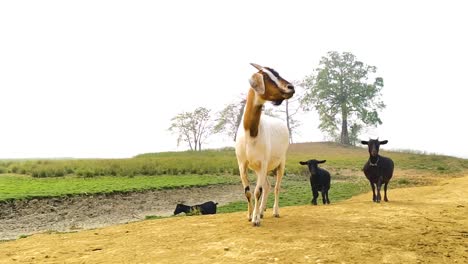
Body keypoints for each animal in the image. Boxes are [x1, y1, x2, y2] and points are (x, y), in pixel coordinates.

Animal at [236, 63, 294, 226]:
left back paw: (274, 212)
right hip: (259, 168)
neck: (251, 134)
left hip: (280, 163)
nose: (290, 87)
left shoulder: (263, 163)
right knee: (267, 187)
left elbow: (257, 191)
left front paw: (255, 220)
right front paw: (250, 215)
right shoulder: (242, 164)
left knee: (276, 187)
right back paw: (261, 212)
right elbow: (248, 192)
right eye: (267, 77)